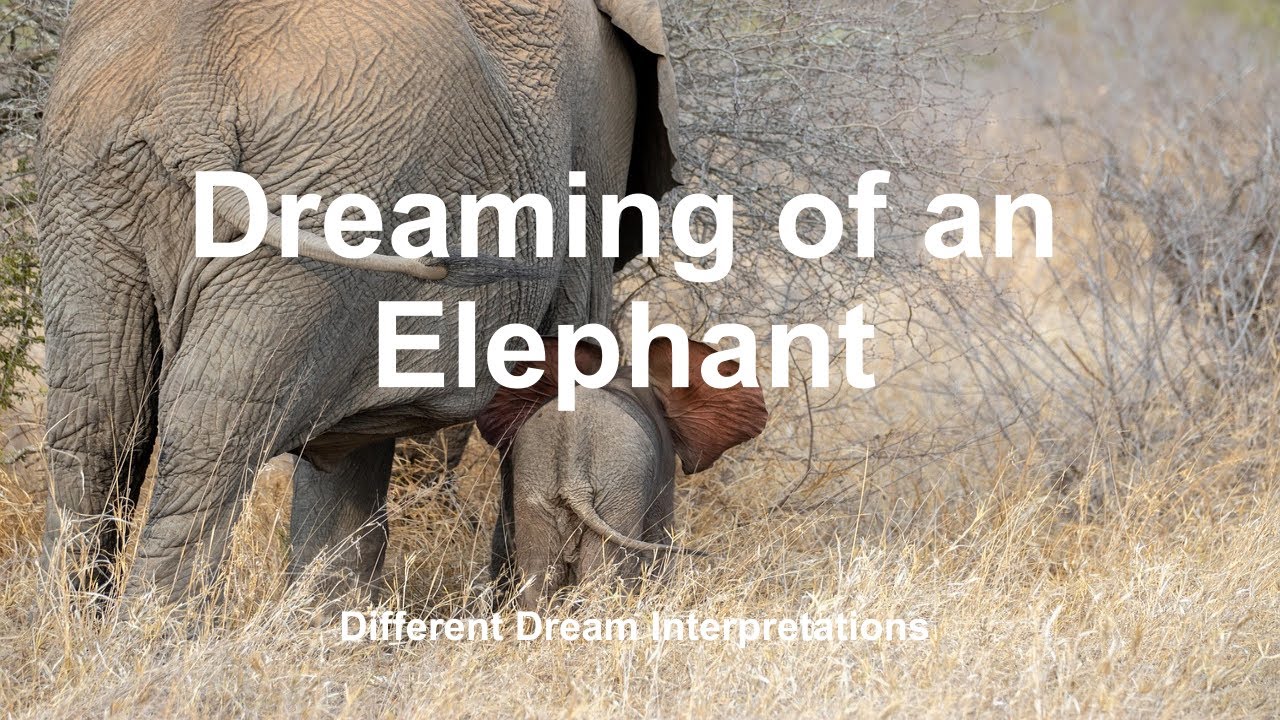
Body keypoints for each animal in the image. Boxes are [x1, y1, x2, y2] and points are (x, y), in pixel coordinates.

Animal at [36, 0, 679, 599]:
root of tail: (190, 95)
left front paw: (323, 622)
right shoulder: (598, 131)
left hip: (93, 182)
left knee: (96, 418)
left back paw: (81, 624)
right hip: (325, 205)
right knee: (208, 434)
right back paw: (154, 632)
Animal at [475, 338, 768, 608]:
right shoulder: (664, 463)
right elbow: (660, 535)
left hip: (538, 483)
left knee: (539, 573)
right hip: (618, 485)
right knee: (601, 571)